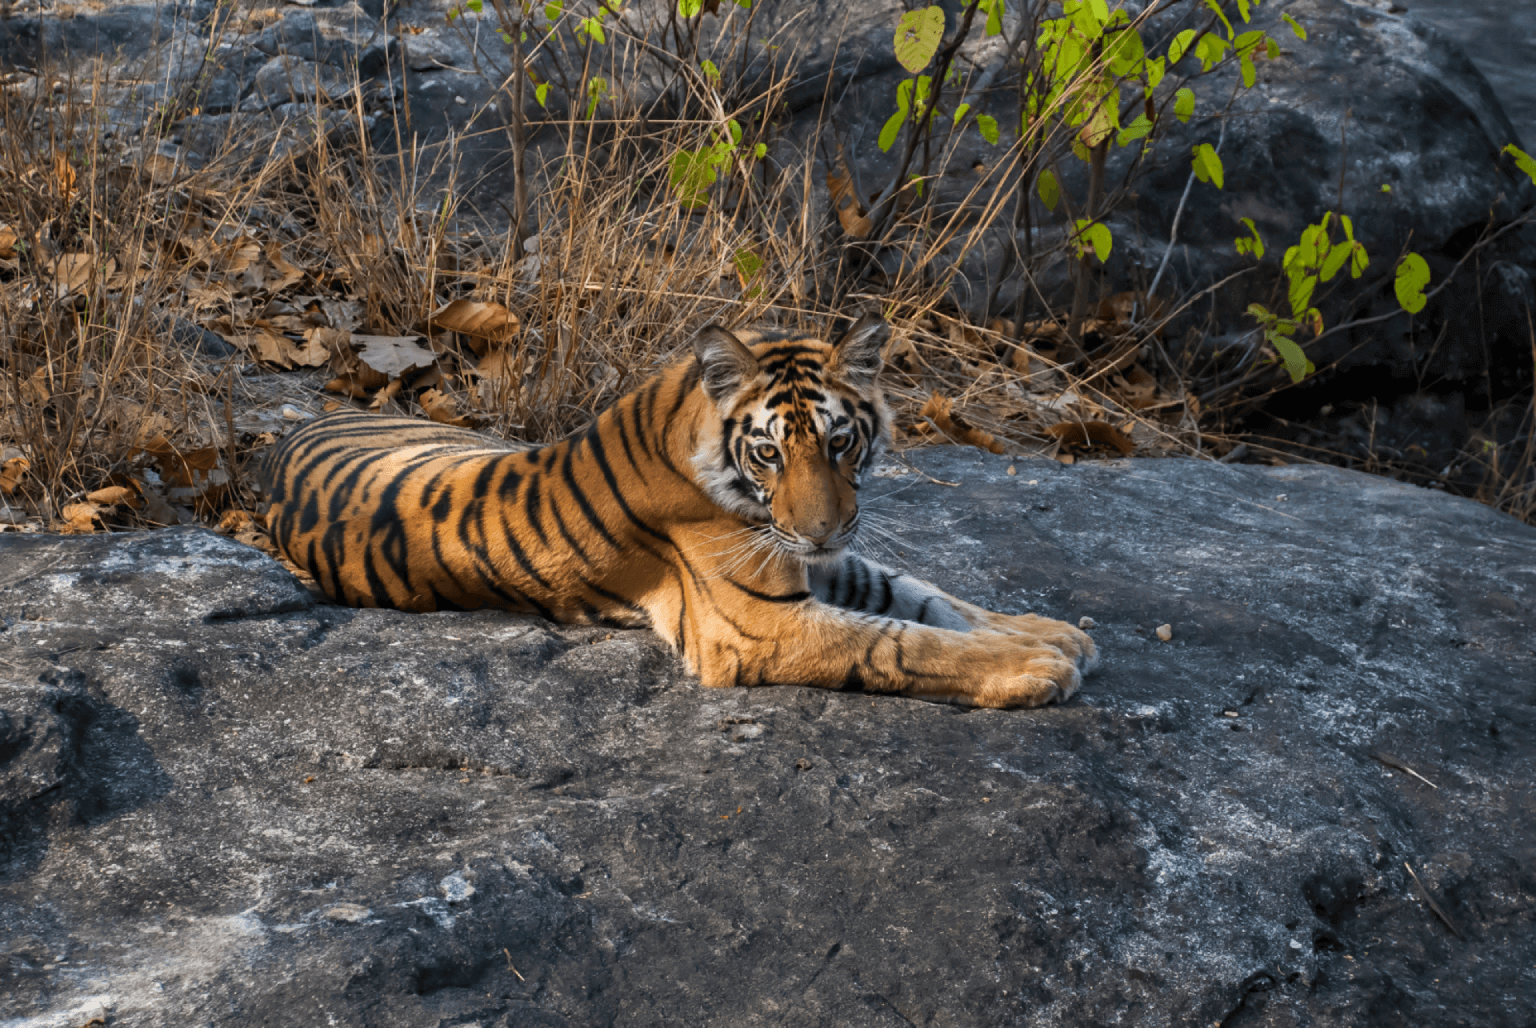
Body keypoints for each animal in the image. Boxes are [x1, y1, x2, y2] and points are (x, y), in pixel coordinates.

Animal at [261, 316, 1093, 706]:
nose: (822, 530)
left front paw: (1053, 633)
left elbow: (927, 597)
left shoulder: (817, 558)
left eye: (841, 441)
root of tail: (291, 433)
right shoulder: (759, 623)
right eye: (769, 453)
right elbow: (901, 641)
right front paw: (1036, 667)